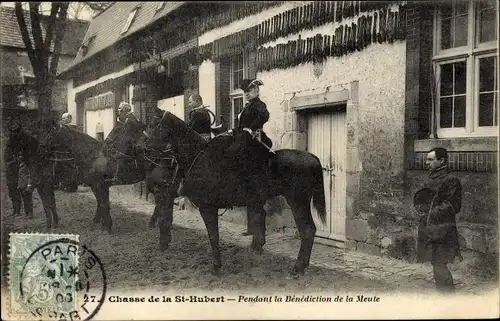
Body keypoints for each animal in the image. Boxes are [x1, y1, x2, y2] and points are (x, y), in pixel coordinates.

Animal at [145, 110, 326, 278]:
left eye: (154, 124)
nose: (145, 147)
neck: (198, 159)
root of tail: (313, 158)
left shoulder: (207, 207)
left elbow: (213, 236)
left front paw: (216, 266)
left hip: (297, 201)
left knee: (307, 230)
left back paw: (297, 268)